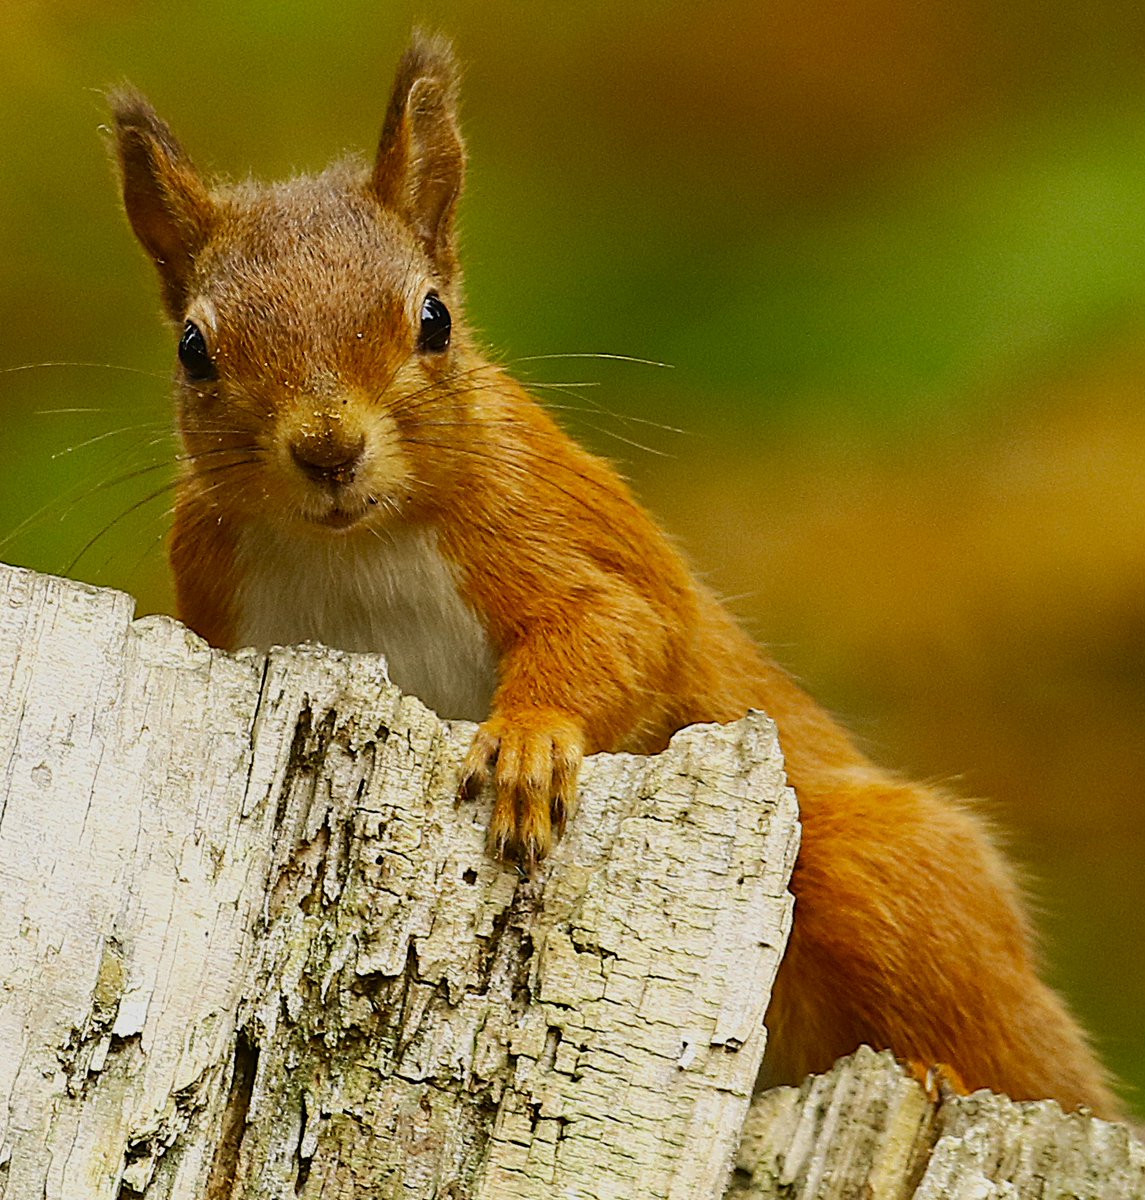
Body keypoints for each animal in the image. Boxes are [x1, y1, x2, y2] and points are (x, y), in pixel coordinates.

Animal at [108, 31, 1121, 1119]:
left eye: (433, 319)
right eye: (193, 349)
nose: (329, 451)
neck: (351, 549)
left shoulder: (535, 522)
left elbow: (618, 629)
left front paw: (527, 742)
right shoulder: (217, 596)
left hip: (882, 875)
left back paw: (940, 1075)